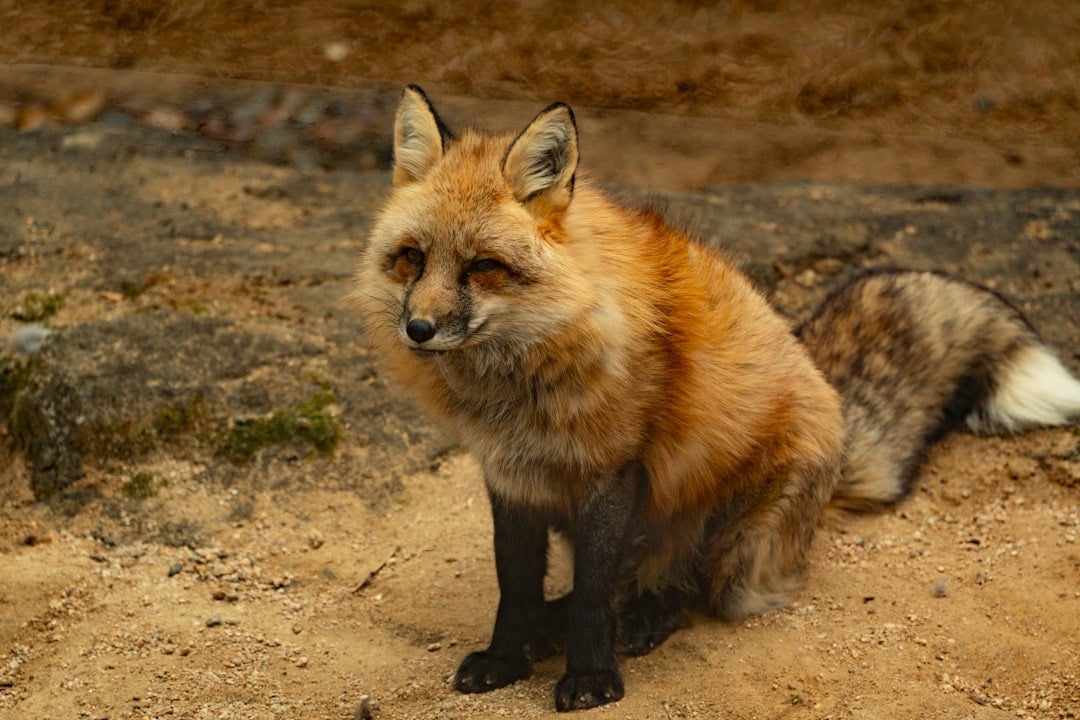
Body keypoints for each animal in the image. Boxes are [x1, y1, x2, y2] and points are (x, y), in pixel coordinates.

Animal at [353, 85, 1080, 712]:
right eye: (413, 258)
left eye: (484, 267)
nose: (418, 329)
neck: (520, 388)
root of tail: (835, 410)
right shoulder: (511, 474)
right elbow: (516, 585)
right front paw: (507, 658)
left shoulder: (614, 470)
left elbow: (593, 590)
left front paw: (590, 676)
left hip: (725, 529)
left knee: (681, 590)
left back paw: (643, 619)